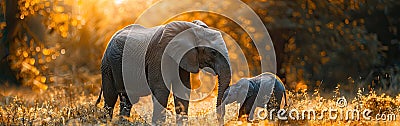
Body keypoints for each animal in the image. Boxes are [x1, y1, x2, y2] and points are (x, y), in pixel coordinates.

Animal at [96, 20, 231, 124]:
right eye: (213, 52)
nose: (220, 120)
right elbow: (161, 89)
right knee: (111, 97)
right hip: (107, 65)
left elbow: (182, 89)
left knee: (127, 99)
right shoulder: (158, 56)